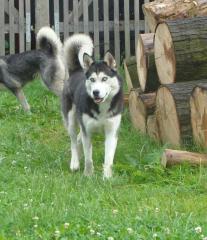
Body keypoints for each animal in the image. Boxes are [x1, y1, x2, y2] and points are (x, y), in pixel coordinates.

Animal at [61, 34, 123, 179]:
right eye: (92, 79)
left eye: (104, 79)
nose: (96, 92)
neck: (102, 108)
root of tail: (76, 71)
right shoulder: (87, 132)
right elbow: (89, 158)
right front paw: (88, 175)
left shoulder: (112, 132)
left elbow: (108, 159)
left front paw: (107, 177)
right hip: (71, 121)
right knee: (73, 141)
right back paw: (75, 162)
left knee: (78, 139)